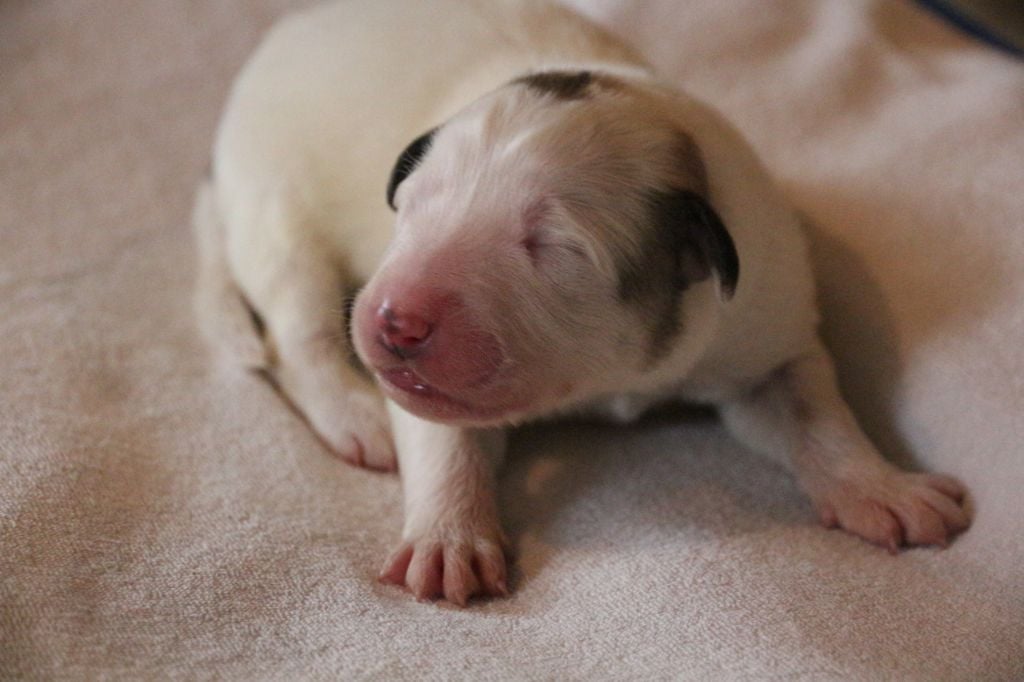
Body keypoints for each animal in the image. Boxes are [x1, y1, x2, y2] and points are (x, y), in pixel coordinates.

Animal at [195, 0, 970, 606]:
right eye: (410, 204)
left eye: (552, 245)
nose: (396, 321)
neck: (615, 374)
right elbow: (441, 435)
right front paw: (447, 538)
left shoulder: (767, 322)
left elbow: (818, 411)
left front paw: (885, 489)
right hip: (276, 204)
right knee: (297, 336)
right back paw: (356, 417)